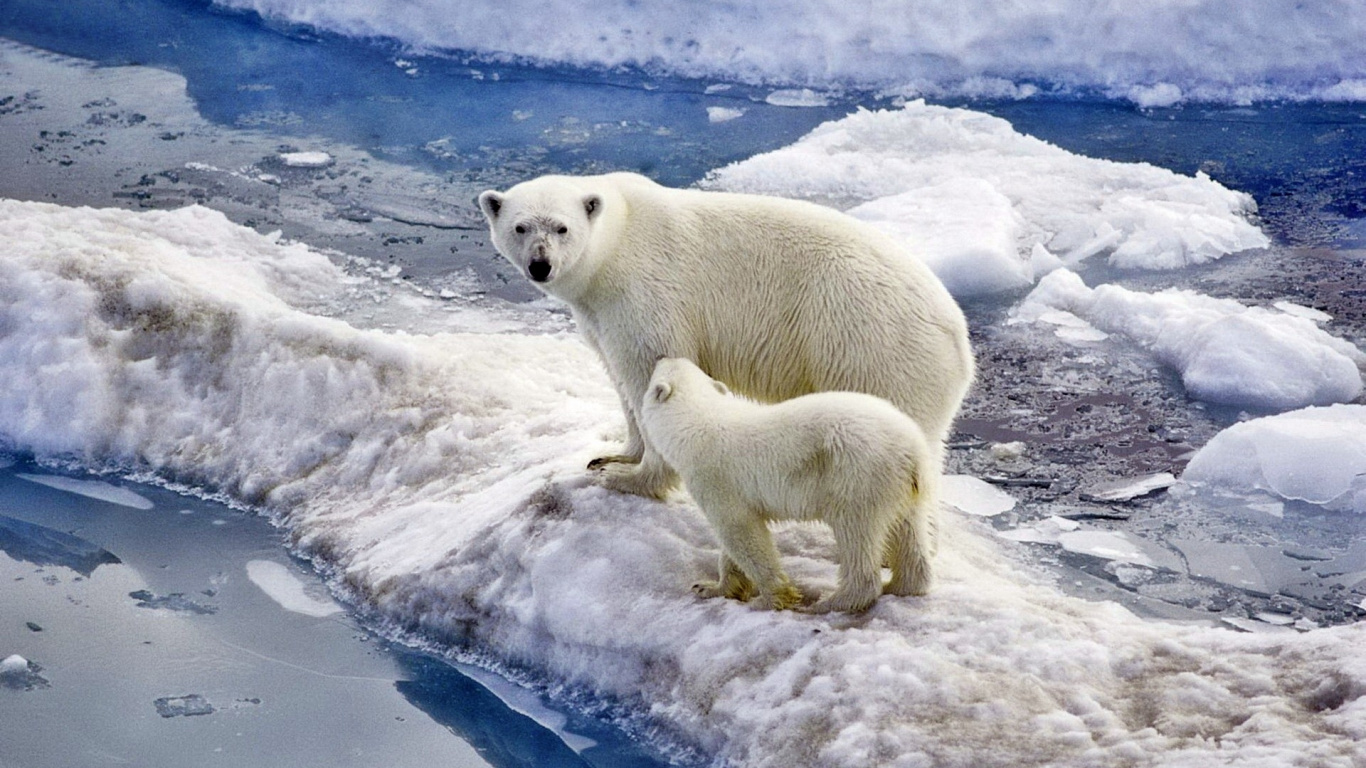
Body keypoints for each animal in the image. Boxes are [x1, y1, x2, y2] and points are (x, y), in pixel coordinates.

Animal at [477, 172, 973, 513]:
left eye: (561, 228)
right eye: (521, 227)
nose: (540, 265)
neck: (615, 244)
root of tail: (960, 340)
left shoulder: (645, 292)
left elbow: (649, 368)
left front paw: (630, 478)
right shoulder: (598, 312)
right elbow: (618, 376)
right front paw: (611, 455)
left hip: (870, 346)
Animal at [640, 358, 935, 612]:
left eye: (658, 371)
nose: (662, 356)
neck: (699, 425)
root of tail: (913, 449)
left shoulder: (716, 478)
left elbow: (741, 532)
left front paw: (772, 598)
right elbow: (734, 542)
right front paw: (710, 587)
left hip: (858, 476)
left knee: (856, 533)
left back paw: (831, 601)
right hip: (901, 487)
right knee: (908, 530)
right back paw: (901, 584)